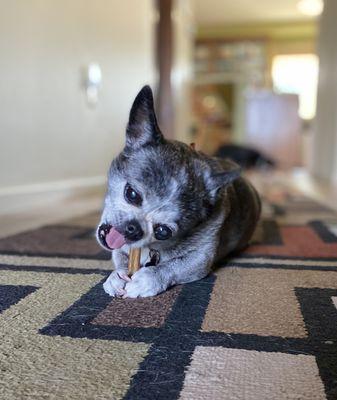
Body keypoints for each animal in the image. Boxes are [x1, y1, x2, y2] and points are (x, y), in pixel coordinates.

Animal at [96, 85, 260, 296]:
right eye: (131, 194)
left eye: (163, 231)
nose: (133, 228)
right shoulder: (122, 249)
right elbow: (120, 257)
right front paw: (117, 276)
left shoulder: (200, 260)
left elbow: (171, 267)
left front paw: (148, 279)